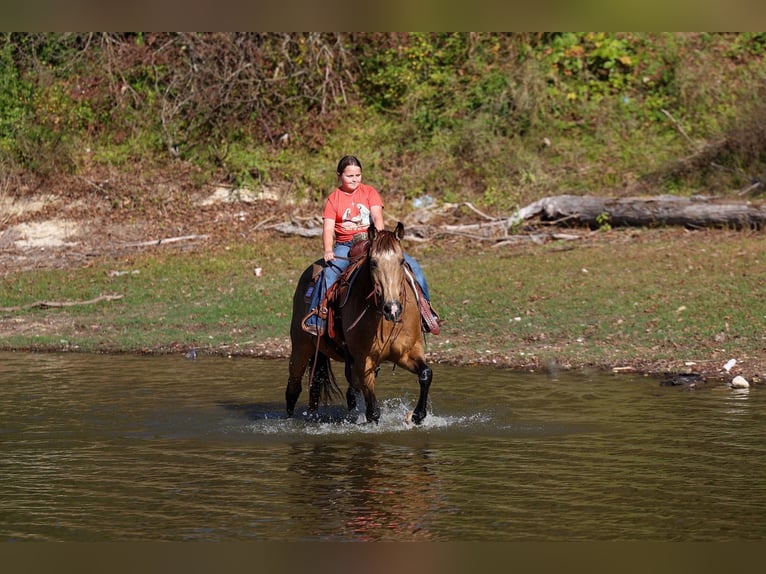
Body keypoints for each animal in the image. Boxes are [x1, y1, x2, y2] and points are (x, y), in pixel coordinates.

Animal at [285, 222, 433, 424]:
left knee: (319, 389)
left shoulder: (408, 352)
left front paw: (416, 415)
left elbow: (426, 374)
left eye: (402, 261)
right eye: (373, 263)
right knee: (293, 388)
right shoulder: (364, 360)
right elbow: (373, 412)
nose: (393, 308)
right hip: (301, 347)